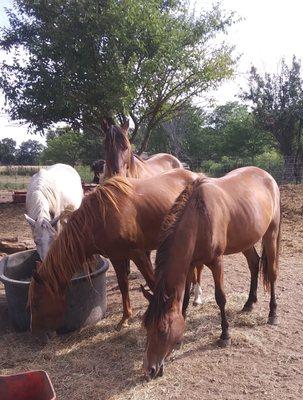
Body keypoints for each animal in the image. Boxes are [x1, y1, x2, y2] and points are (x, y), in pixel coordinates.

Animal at [27, 167, 200, 332]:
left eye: (37, 302)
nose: (34, 330)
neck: (100, 219)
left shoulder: (137, 253)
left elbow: (152, 283)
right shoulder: (116, 256)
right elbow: (123, 285)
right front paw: (125, 319)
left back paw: (196, 297)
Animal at [144, 167, 282, 380]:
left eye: (163, 329)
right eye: (146, 327)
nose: (150, 370)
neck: (199, 217)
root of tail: (267, 176)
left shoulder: (216, 262)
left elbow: (220, 298)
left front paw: (225, 335)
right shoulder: (191, 264)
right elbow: (184, 300)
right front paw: (180, 338)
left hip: (271, 234)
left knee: (273, 273)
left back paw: (272, 313)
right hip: (246, 240)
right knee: (254, 264)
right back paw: (249, 303)